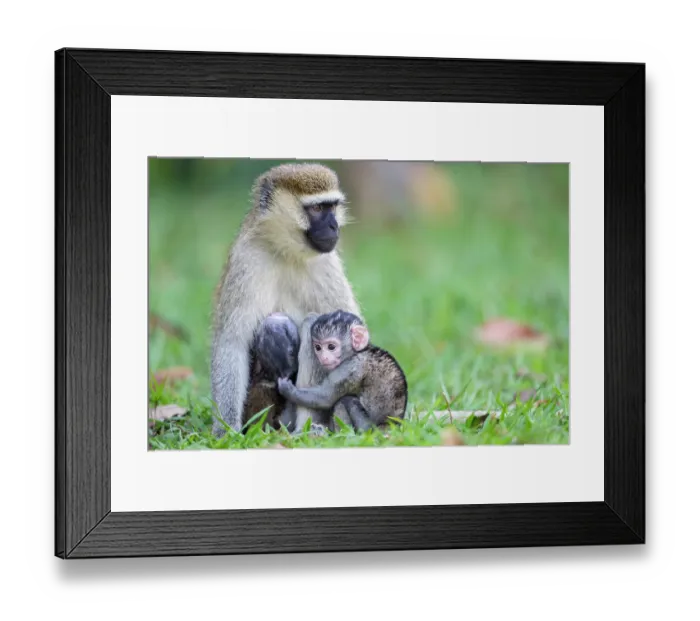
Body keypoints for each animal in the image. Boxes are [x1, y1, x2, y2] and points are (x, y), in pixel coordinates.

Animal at [210, 163, 361, 436]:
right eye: (316, 209)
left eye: (332, 207)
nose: (334, 227)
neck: (286, 252)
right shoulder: (247, 259)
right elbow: (232, 342)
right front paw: (226, 432)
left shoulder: (327, 263)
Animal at [277, 310, 408, 432]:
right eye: (318, 348)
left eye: (331, 347)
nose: (323, 357)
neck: (358, 352)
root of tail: (389, 427)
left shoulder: (350, 367)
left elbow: (325, 398)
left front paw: (287, 388)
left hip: (368, 428)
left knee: (345, 401)